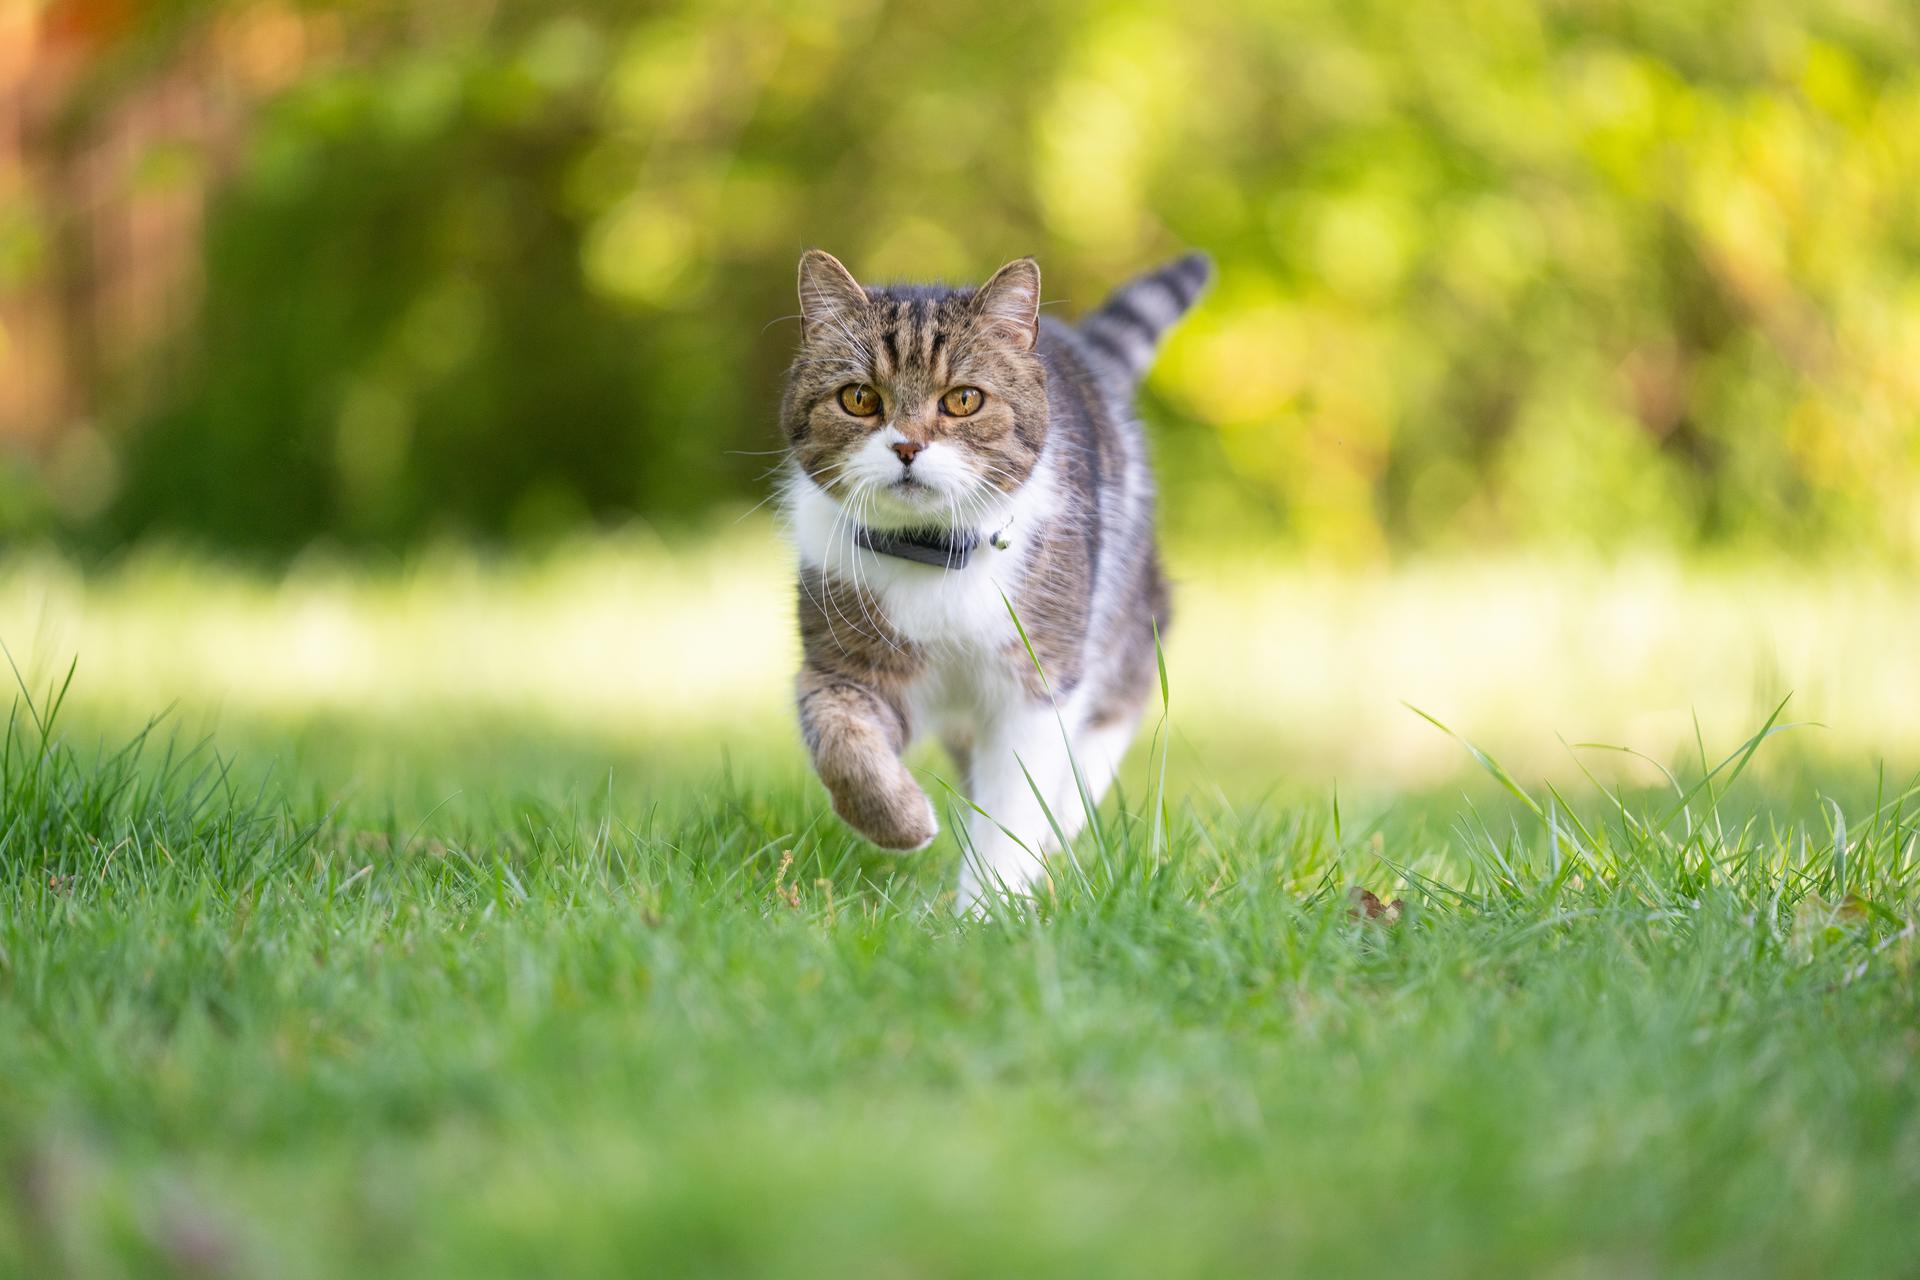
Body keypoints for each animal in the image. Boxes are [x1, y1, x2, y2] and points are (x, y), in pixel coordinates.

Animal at [775, 247, 1198, 909]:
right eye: (860, 398)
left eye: (964, 401)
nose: (907, 446)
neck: (931, 553)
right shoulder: (842, 665)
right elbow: (843, 744)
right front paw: (906, 823)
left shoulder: (1034, 681)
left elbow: (1015, 806)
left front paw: (986, 911)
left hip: (1127, 609)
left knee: (1115, 703)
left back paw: (1065, 814)